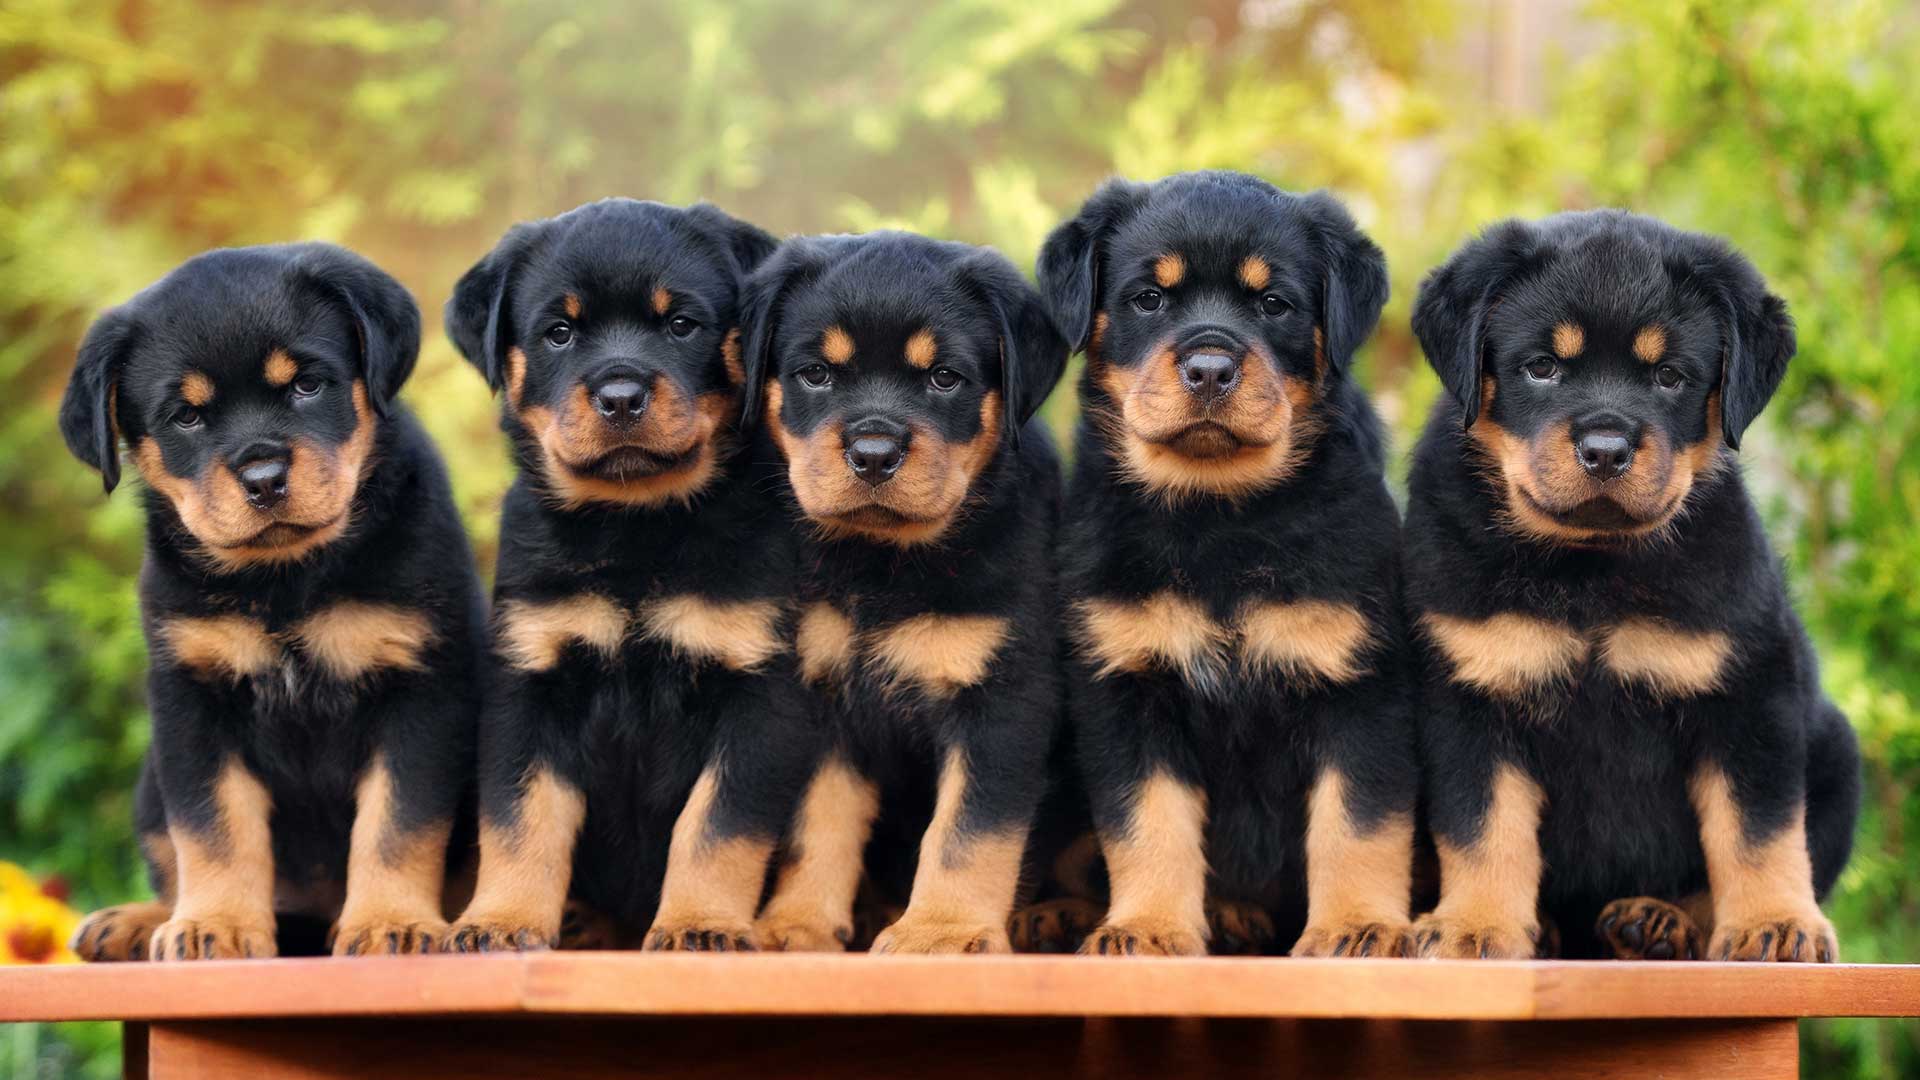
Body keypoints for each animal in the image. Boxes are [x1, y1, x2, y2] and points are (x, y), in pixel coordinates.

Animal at [59, 244, 483, 957]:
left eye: (307, 385)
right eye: (186, 416)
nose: (263, 478)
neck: (285, 579)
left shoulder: (421, 689)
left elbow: (398, 823)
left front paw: (390, 924)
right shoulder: (194, 699)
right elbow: (212, 828)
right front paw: (216, 926)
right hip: (150, 781)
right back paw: (134, 923)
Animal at [439, 197, 810, 945]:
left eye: (680, 324)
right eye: (558, 333)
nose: (619, 395)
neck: (635, 526)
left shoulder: (758, 691)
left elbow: (717, 825)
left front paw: (701, 925)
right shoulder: (531, 680)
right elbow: (521, 820)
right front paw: (502, 920)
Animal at [737, 228, 1075, 949]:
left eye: (944, 377)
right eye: (816, 374)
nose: (872, 454)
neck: (883, 563)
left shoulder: (1003, 699)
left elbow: (968, 830)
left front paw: (941, 931)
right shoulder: (827, 698)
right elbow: (819, 825)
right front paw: (797, 924)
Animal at [1036, 171, 1413, 953]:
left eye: (1274, 304)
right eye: (1149, 298)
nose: (1210, 368)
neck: (1218, 516)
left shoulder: (1360, 684)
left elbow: (1358, 821)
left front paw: (1358, 926)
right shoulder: (1127, 685)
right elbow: (1147, 820)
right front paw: (1146, 929)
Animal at [1413, 210, 1858, 957]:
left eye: (1671, 377)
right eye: (1542, 367)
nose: (1606, 450)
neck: (1592, 566)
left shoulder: (1747, 694)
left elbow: (1758, 828)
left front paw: (1773, 924)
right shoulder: (1471, 693)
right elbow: (1484, 827)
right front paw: (1475, 927)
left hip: (1834, 747)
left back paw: (1657, 923)